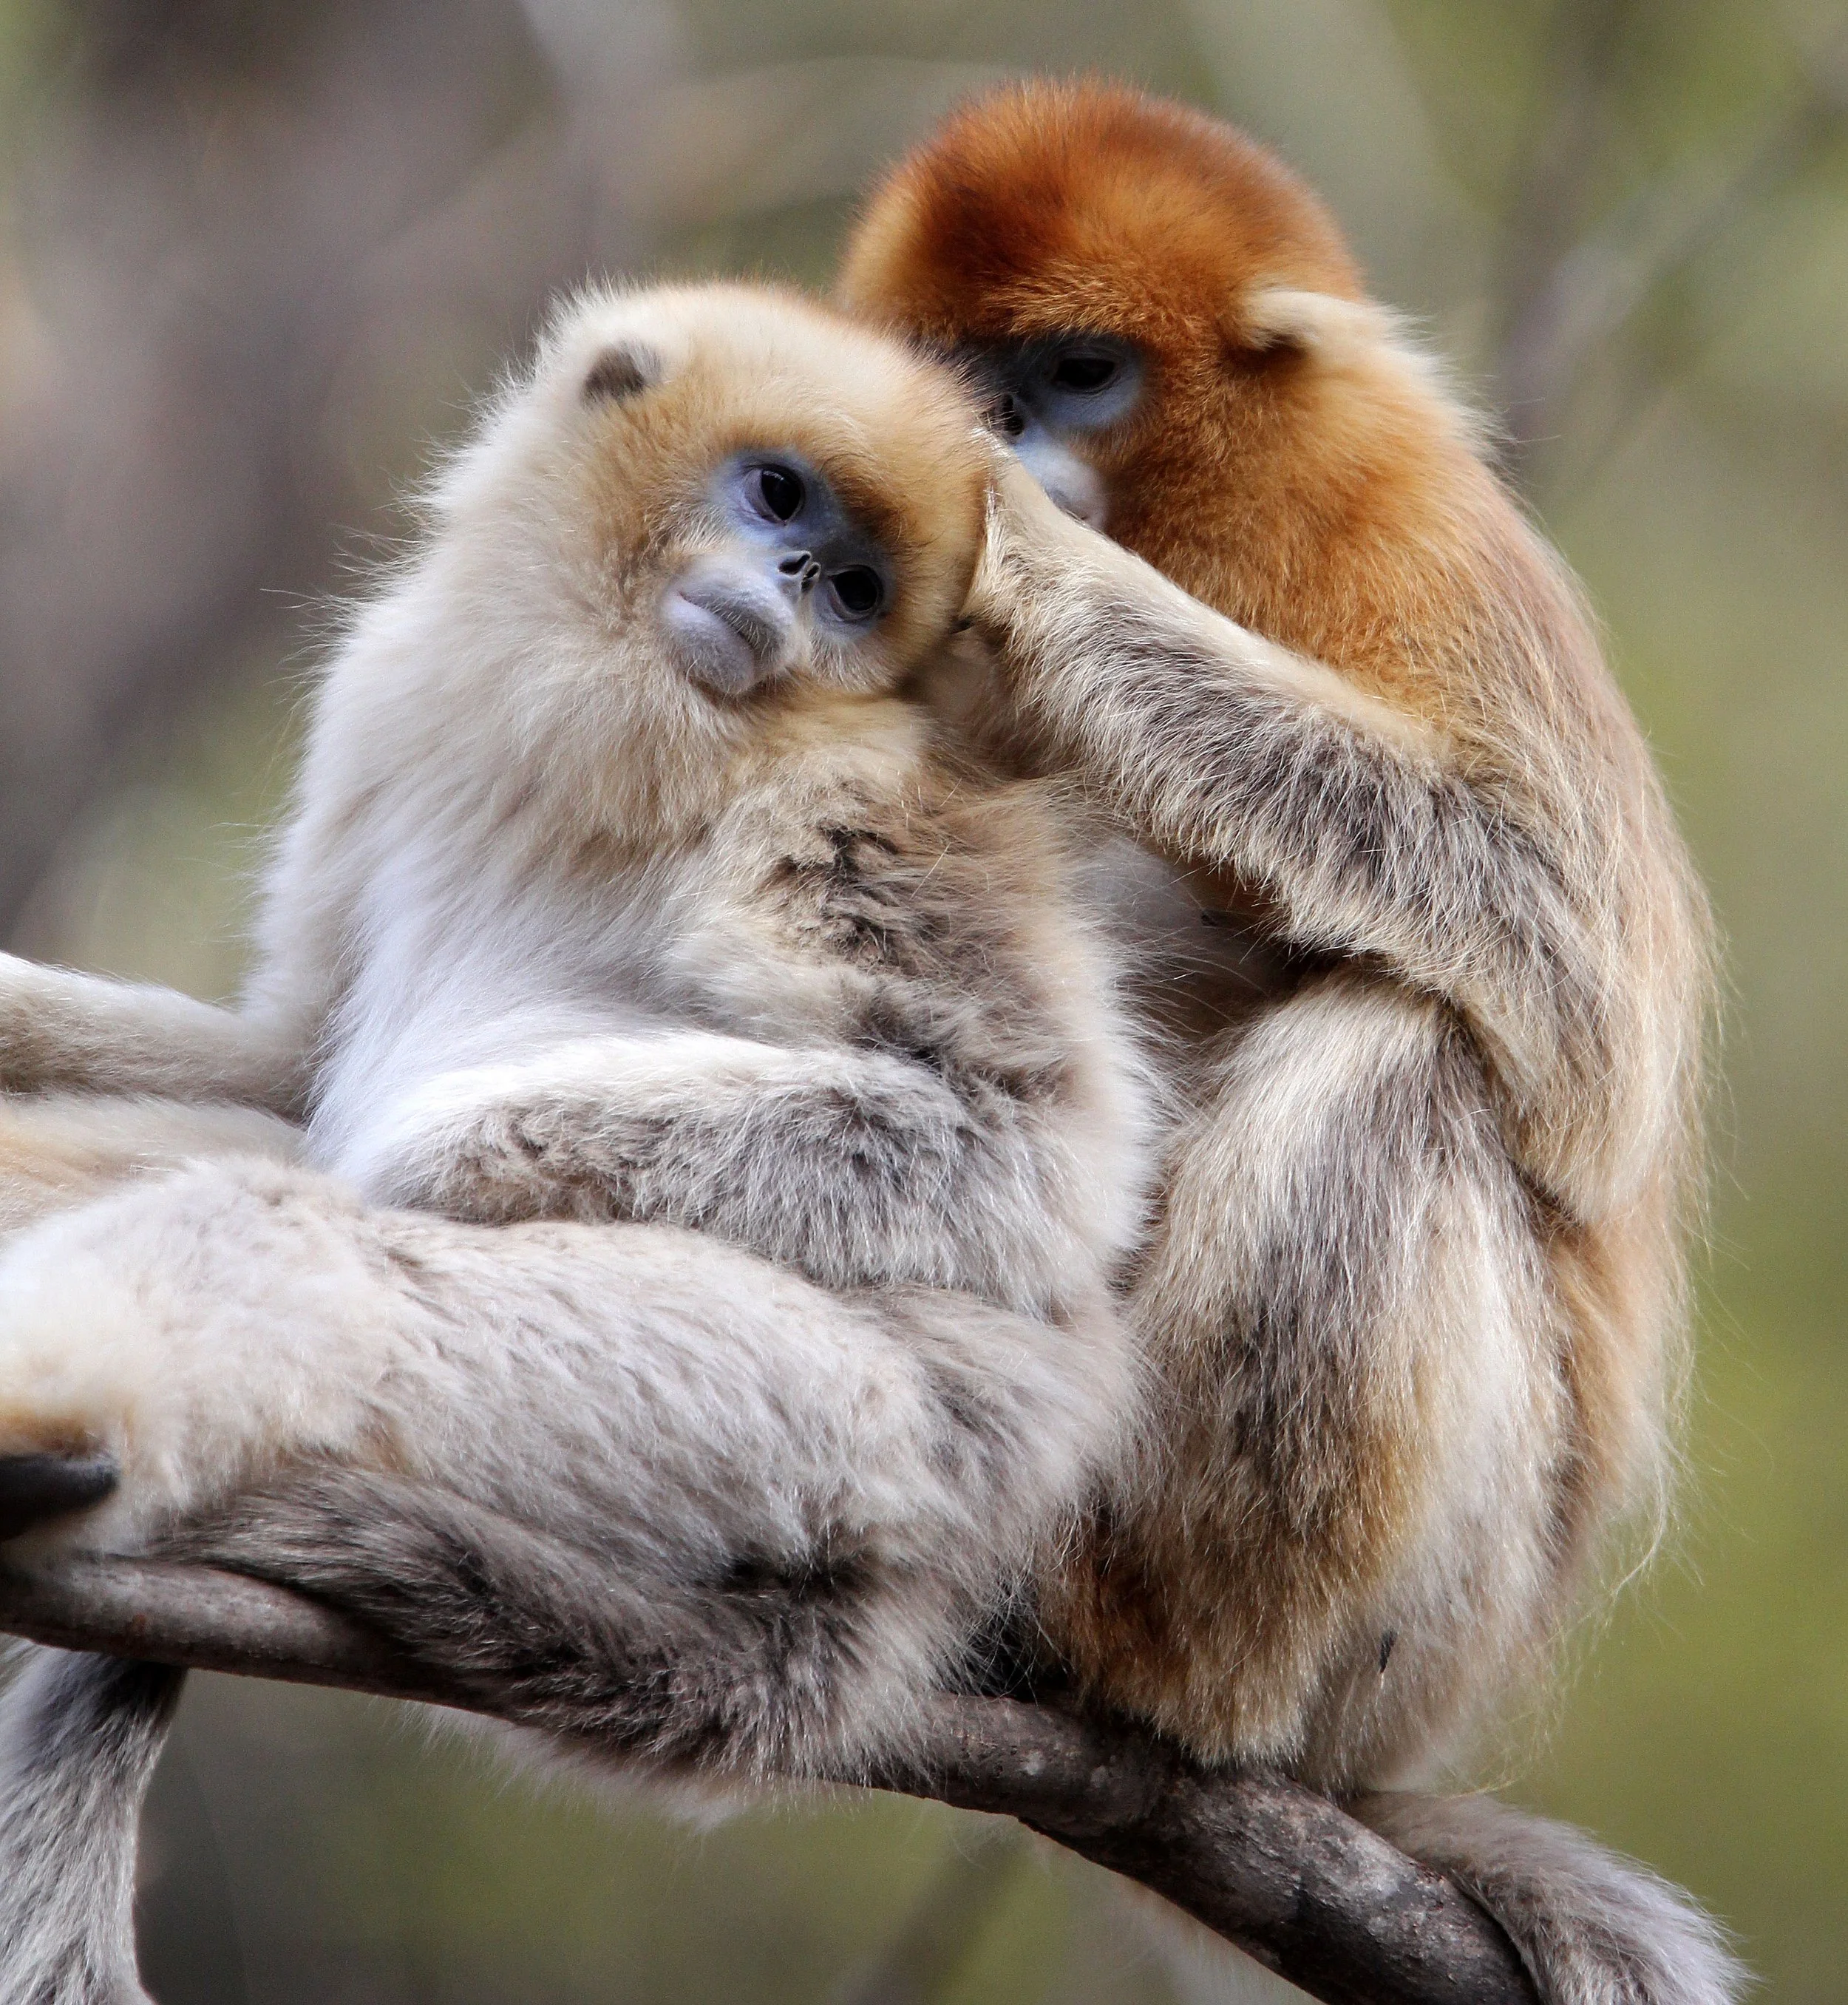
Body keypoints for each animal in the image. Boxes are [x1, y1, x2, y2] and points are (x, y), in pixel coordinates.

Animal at [0, 279, 1159, 2004]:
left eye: (860, 588)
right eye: (776, 497)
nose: (803, 584)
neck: (624, 714)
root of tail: (953, 1538)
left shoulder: (860, 796)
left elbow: (1028, 1159)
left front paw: (418, 1166)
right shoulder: (389, 687)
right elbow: (291, 1050)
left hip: (811, 1412)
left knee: (311, 1252)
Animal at [833, 80, 1736, 2005]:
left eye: (1074, 370)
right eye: (957, 363)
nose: (996, 436)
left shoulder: (1418, 532)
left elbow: (1575, 997)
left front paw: (1036, 561)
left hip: (1435, 1619)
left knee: (1402, 1055)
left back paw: (1148, 1657)